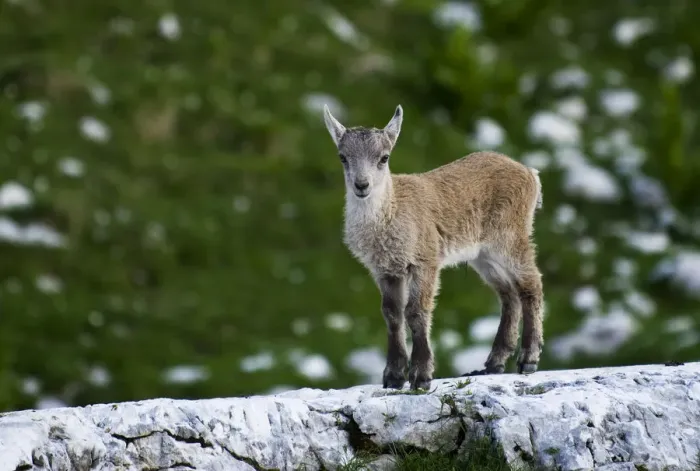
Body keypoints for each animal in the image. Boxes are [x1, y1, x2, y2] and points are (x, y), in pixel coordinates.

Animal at [322, 104, 544, 390]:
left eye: (384, 158)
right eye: (343, 157)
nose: (362, 185)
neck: (391, 212)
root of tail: (530, 173)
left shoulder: (425, 260)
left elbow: (416, 311)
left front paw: (421, 376)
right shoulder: (386, 270)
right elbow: (392, 315)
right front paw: (393, 376)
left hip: (509, 237)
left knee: (531, 284)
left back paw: (528, 359)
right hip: (483, 255)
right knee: (508, 294)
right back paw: (493, 363)